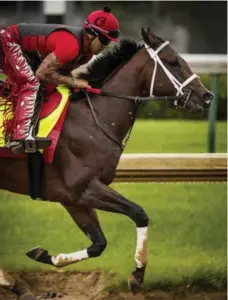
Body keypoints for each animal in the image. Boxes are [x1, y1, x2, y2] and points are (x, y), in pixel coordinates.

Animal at [0, 28, 214, 298]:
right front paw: (137, 275)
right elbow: (139, 213)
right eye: (173, 61)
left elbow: (98, 244)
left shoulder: (73, 198)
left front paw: (42, 254)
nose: (207, 96)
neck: (93, 118)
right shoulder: (83, 188)